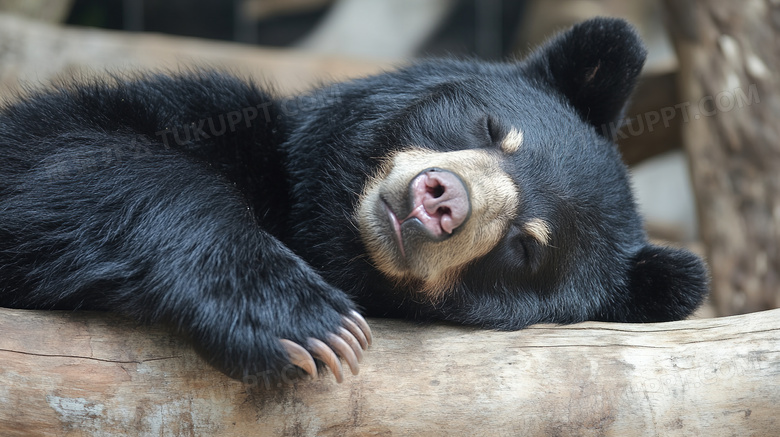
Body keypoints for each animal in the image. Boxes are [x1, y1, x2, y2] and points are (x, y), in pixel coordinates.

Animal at [0, 18, 708, 382]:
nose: (439, 203)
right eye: (492, 129)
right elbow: (58, 156)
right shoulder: (225, 119)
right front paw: (308, 323)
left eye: (525, 248)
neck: (326, 227)